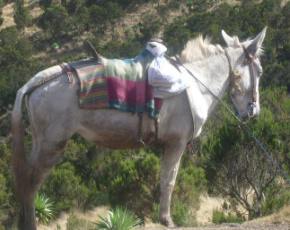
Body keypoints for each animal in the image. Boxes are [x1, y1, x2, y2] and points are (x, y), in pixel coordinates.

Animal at [11, 27, 266, 229]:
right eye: (260, 71)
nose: (253, 112)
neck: (193, 83)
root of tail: (39, 81)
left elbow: (163, 179)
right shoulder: (176, 143)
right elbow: (169, 180)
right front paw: (167, 220)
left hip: (40, 143)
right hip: (51, 145)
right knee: (30, 184)